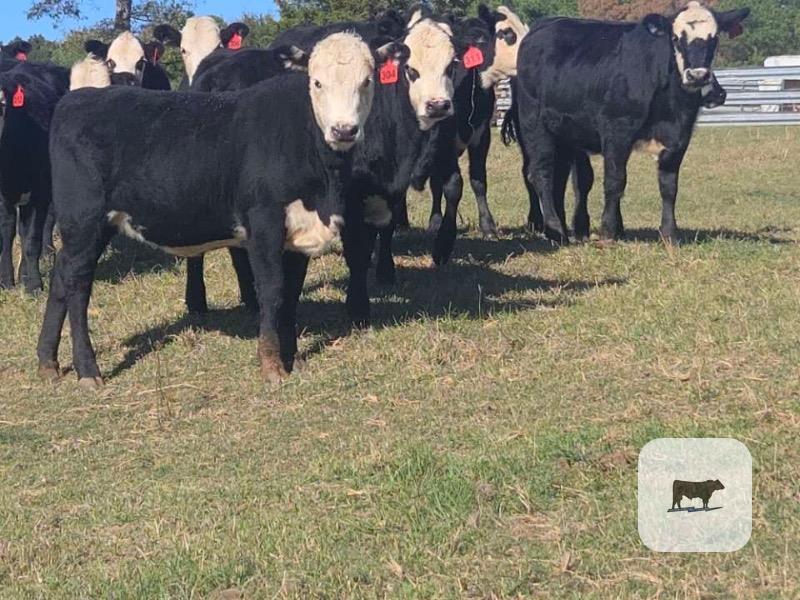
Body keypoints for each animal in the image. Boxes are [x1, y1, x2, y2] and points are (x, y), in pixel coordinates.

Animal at [0, 62, 69, 293]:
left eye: (2, 104)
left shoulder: (39, 192)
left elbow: (31, 239)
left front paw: (33, 285)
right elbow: (5, 237)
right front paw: (6, 282)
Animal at [36, 33, 405, 388]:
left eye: (367, 81)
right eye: (317, 82)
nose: (344, 129)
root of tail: (77, 100)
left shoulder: (300, 231)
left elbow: (292, 293)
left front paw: (292, 357)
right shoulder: (263, 224)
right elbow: (272, 291)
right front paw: (272, 367)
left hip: (92, 226)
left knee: (61, 275)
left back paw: (48, 362)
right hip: (84, 218)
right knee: (78, 284)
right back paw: (87, 370)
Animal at [509, 2, 749, 245]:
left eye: (715, 38)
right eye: (675, 38)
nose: (697, 75)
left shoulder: (679, 138)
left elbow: (669, 186)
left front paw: (669, 234)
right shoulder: (617, 131)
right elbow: (615, 181)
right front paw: (608, 232)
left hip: (566, 135)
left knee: (559, 178)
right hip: (534, 126)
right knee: (542, 173)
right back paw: (554, 228)